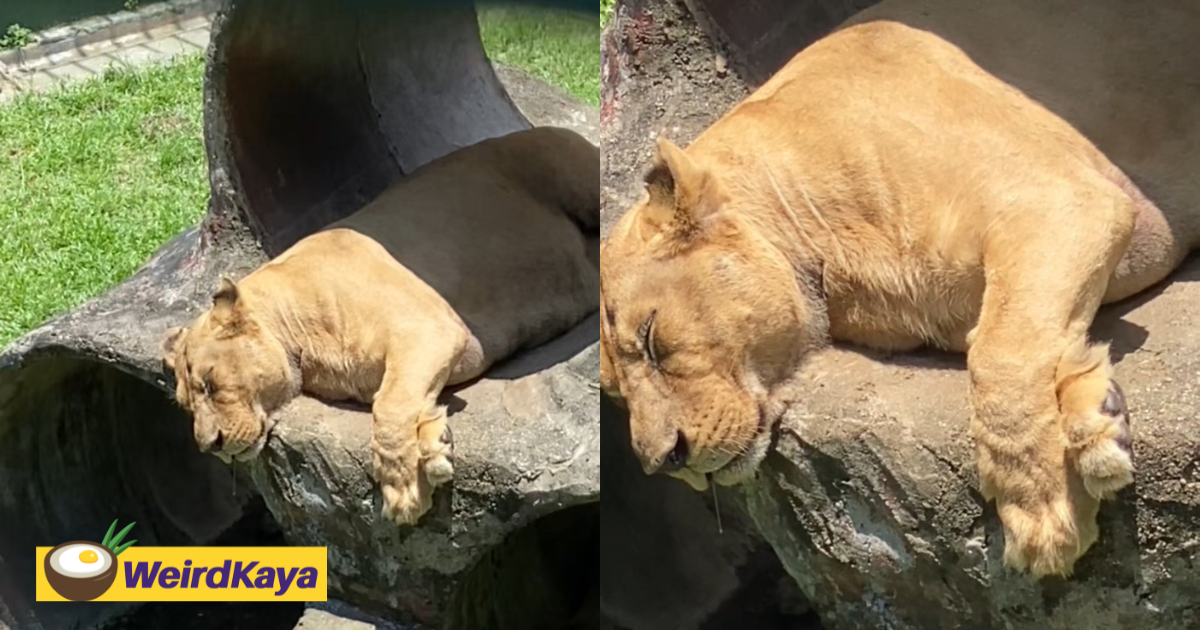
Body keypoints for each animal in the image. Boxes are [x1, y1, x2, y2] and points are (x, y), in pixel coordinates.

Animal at [164, 125, 600, 523]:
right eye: (185, 405)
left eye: (210, 383)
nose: (211, 445)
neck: (300, 337)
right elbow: (403, 402)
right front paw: (433, 445)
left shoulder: (431, 330)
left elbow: (388, 411)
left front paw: (403, 495)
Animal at [604, 3, 1200, 573]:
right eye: (615, 394)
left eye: (652, 338)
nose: (665, 462)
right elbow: (1019, 340)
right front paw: (1095, 415)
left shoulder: (1064, 199)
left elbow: (1002, 359)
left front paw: (1043, 516)